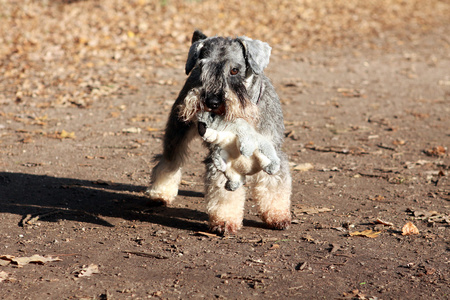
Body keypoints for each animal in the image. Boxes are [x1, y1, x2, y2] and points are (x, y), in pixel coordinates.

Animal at [148, 30, 292, 233]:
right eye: (202, 68)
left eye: (235, 70)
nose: (212, 102)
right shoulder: (219, 158)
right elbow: (223, 191)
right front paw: (225, 221)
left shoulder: (273, 151)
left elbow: (274, 184)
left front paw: (277, 216)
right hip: (176, 133)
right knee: (169, 161)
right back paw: (160, 193)